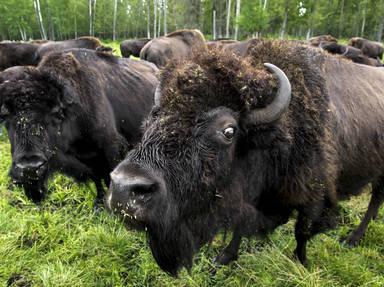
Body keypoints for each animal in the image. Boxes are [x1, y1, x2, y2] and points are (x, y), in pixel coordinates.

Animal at [0, 47, 158, 205]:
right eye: (5, 116)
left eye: (55, 113)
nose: (30, 167)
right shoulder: (86, 159)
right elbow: (97, 178)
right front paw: (98, 201)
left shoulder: (111, 148)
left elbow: (109, 178)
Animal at [106, 40, 384, 276]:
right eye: (155, 114)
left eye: (229, 130)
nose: (123, 188)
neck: (282, 130)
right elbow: (240, 225)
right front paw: (223, 258)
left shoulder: (314, 198)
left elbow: (302, 232)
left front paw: (301, 263)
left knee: (374, 200)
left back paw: (352, 239)